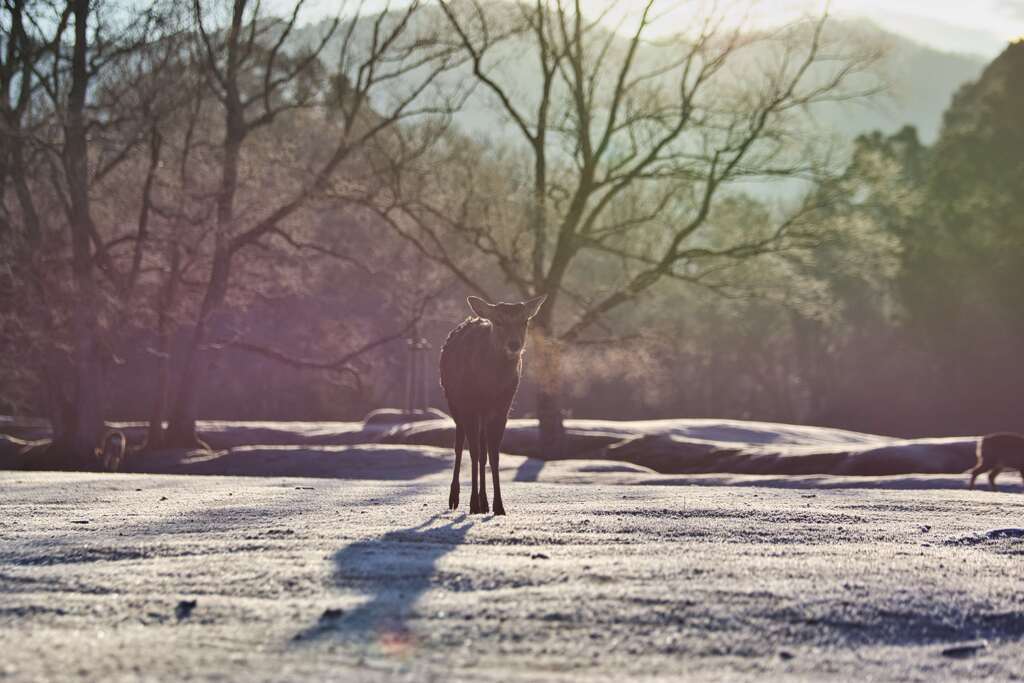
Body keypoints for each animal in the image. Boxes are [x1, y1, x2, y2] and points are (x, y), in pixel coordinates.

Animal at [442, 292, 548, 511]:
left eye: (525, 321)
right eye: (498, 321)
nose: (514, 344)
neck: (490, 387)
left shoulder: (502, 408)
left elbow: (493, 455)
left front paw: (498, 506)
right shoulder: (470, 406)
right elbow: (473, 452)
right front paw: (473, 504)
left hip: (483, 414)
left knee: (483, 451)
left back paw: (484, 502)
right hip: (453, 402)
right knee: (460, 446)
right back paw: (455, 498)